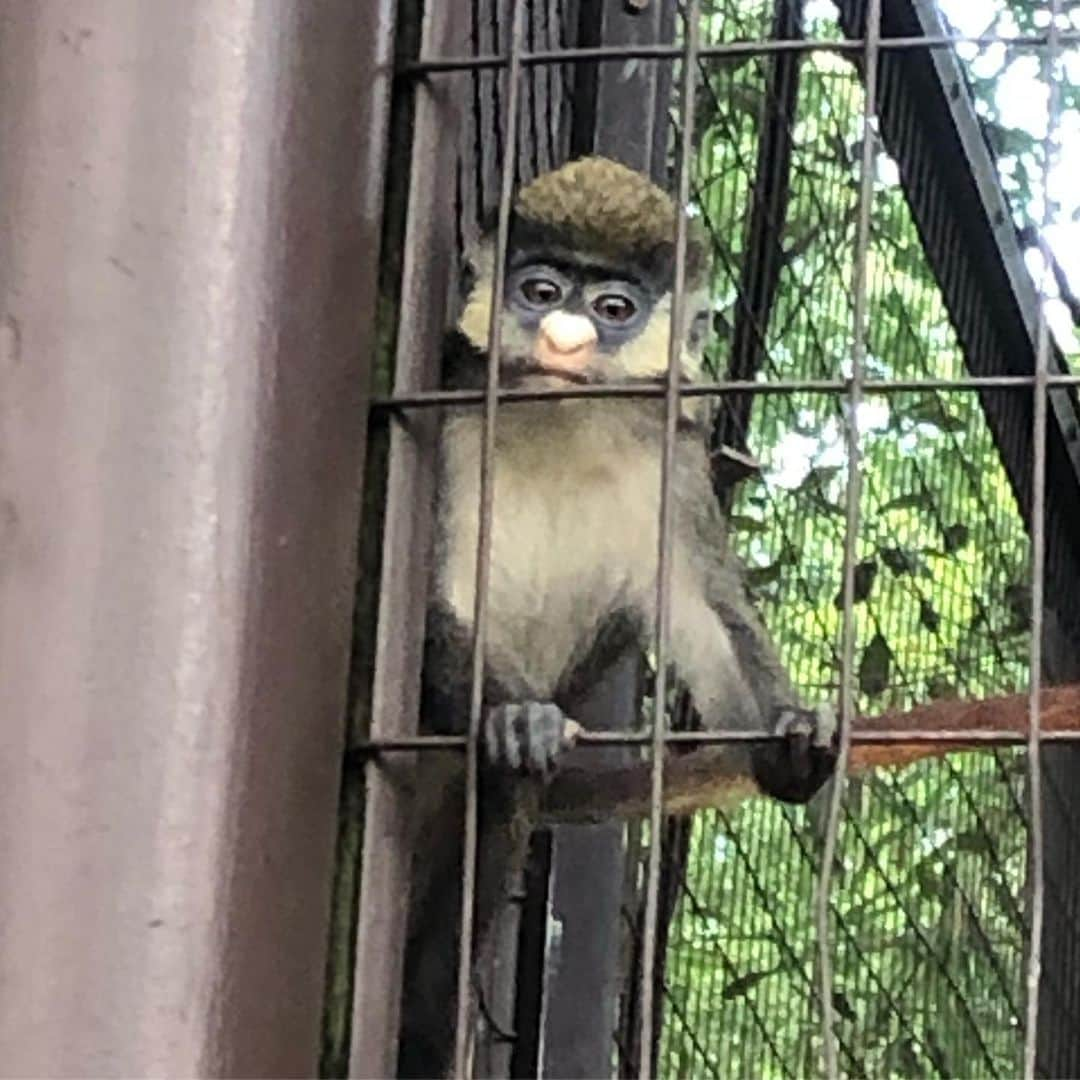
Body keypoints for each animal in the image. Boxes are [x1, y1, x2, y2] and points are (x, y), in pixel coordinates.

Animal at [393, 156, 838, 1075]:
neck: (559, 424)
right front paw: (518, 718)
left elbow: (711, 613)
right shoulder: (451, 408)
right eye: (541, 289)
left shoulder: (670, 457)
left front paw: (794, 736)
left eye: (613, 309)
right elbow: (432, 603)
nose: (563, 339)